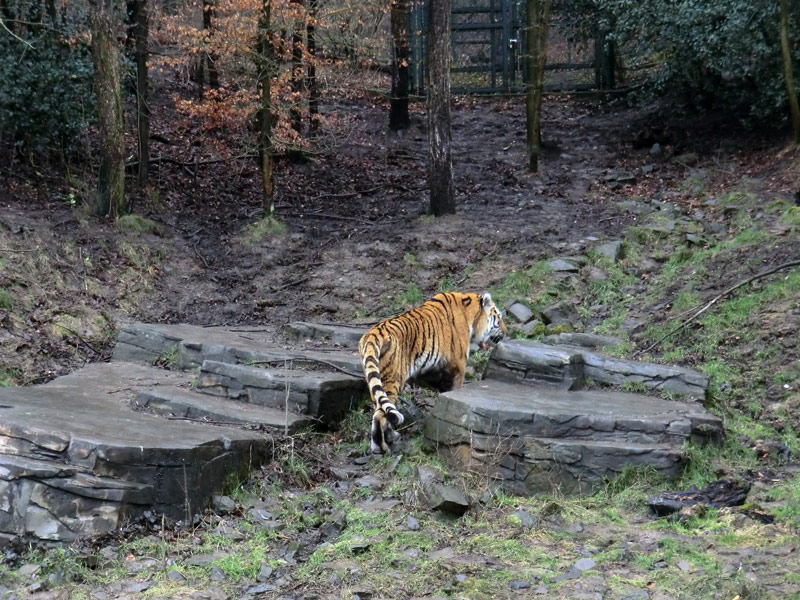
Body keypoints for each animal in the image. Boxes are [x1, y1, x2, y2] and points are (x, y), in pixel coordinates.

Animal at [358, 292, 506, 452]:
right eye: (499, 318)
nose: (506, 332)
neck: (469, 312)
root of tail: (372, 335)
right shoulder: (458, 365)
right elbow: (455, 389)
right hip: (392, 378)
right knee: (380, 415)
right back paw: (384, 446)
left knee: (380, 411)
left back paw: (383, 442)